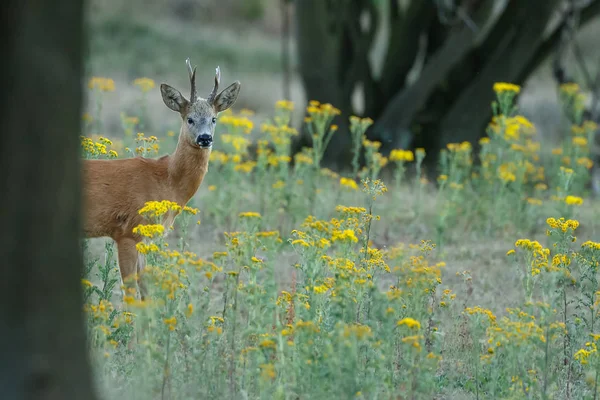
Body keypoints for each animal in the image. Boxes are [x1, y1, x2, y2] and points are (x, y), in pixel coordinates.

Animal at [82, 58, 241, 296]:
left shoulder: (149, 235)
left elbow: (146, 287)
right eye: (190, 119)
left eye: (214, 119)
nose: (205, 138)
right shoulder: (127, 231)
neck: (166, 179)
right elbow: (131, 290)